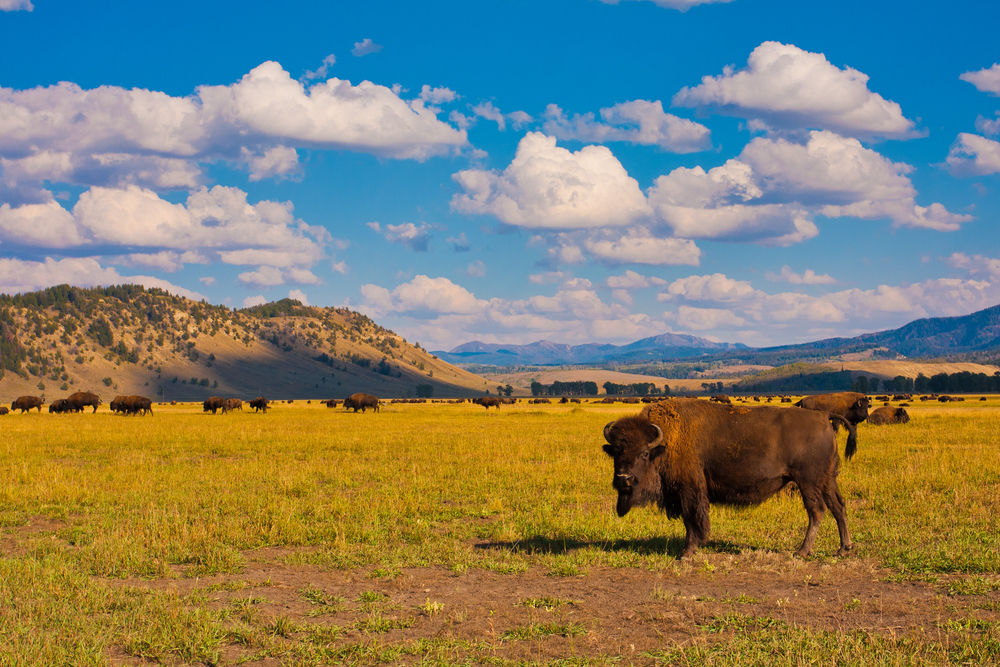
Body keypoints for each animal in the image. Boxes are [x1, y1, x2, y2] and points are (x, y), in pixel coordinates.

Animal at [602, 399, 853, 559]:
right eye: (616, 452)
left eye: (644, 453)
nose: (623, 478)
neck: (664, 443)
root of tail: (823, 417)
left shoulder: (689, 489)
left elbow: (692, 518)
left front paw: (687, 552)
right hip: (827, 480)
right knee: (838, 507)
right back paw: (843, 549)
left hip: (808, 481)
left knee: (817, 511)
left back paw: (801, 552)